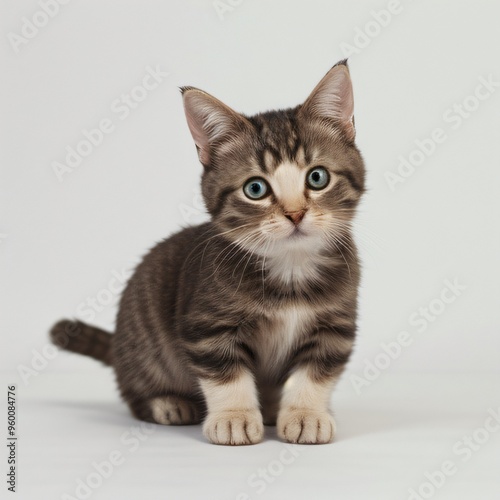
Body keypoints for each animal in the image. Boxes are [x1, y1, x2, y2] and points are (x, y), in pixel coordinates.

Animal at [49, 60, 364, 448]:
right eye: (255, 188)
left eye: (317, 178)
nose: (295, 214)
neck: (290, 269)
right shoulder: (208, 325)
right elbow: (225, 373)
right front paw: (234, 417)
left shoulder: (335, 325)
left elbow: (316, 371)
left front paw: (306, 414)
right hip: (142, 344)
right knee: (135, 388)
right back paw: (168, 403)